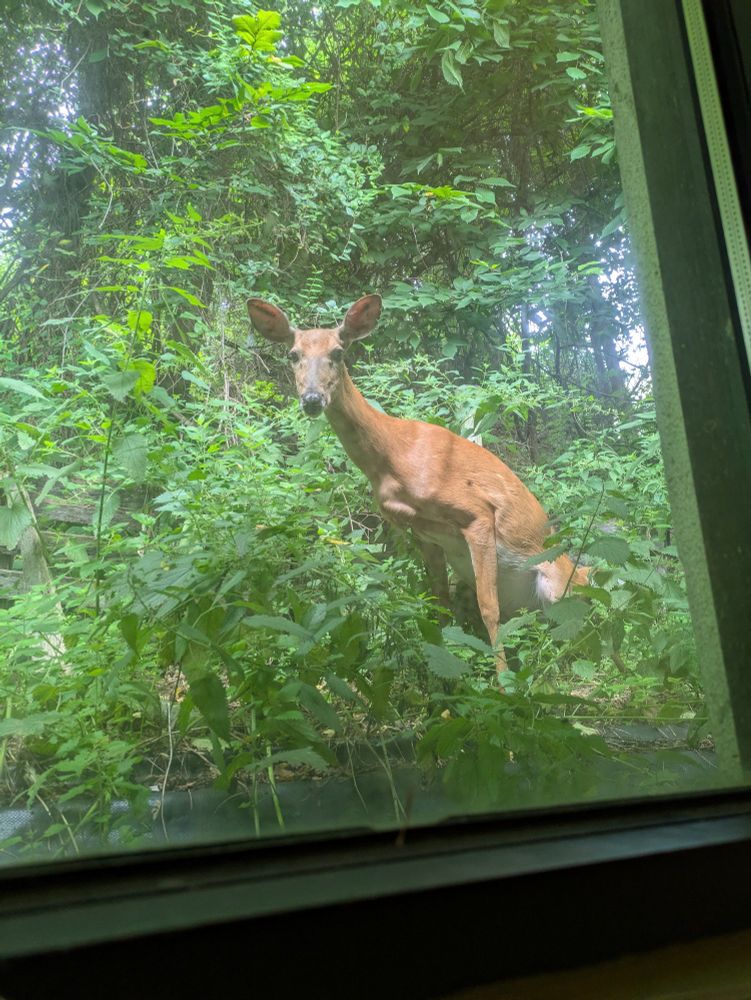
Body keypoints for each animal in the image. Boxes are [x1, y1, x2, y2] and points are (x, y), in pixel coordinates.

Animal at [247, 293, 588, 673]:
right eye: (294, 355)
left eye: (338, 352)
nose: (311, 399)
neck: (393, 460)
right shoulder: (423, 533)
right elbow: (438, 599)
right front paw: (444, 660)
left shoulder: (478, 513)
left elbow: (490, 608)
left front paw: (503, 678)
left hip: (561, 584)